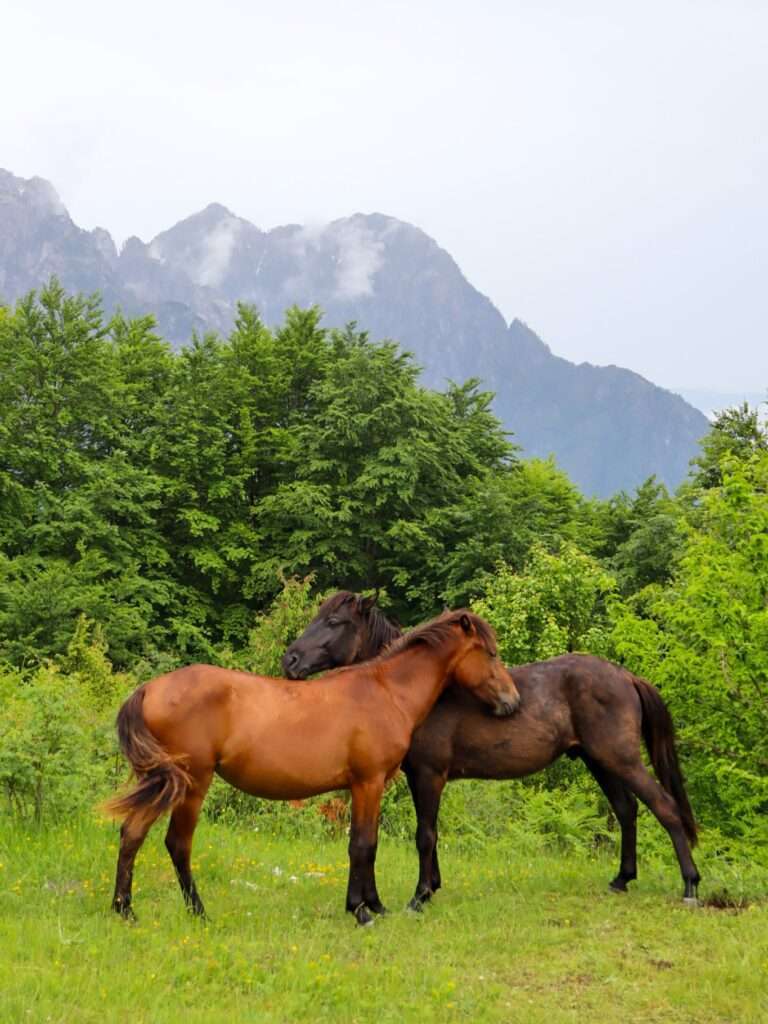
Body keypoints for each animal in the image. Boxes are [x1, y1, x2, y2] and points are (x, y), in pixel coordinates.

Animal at [105, 610, 520, 926]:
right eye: (491, 653)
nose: (512, 701)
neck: (385, 691)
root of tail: (150, 688)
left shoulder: (367, 786)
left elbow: (368, 843)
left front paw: (376, 906)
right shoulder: (368, 782)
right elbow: (363, 845)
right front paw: (360, 911)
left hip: (161, 782)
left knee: (132, 832)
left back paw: (124, 910)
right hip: (192, 783)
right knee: (178, 843)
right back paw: (198, 912)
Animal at [282, 592, 702, 907]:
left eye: (334, 622)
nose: (290, 659)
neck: (415, 688)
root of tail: (625, 676)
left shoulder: (428, 775)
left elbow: (425, 834)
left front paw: (420, 896)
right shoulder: (423, 778)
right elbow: (431, 833)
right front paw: (433, 886)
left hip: (621, 759)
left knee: (665, 807)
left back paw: (690, 885)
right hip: (601, 762)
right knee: (627, 809)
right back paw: (621, 879)